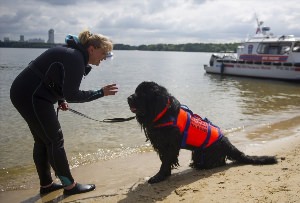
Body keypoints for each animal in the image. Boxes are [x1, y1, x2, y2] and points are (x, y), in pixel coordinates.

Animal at [126, 81, 276, 184]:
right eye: (136, 91)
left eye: (143, 94)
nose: (128, 98)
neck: (162, 112)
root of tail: (227, 142)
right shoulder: (162, 145)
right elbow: (165, 160)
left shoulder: (170, 145)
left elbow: (166, 161)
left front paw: (158, 177)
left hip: (203, 153)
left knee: (219, 162)